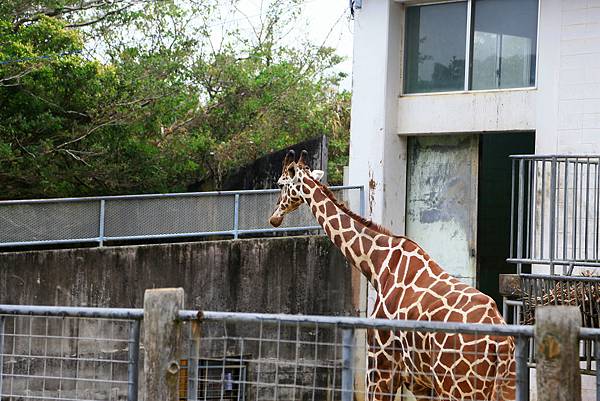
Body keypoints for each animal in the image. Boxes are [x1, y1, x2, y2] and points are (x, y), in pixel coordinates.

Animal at [268, 150, 516, 400]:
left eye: (280, 183)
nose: (274, 218)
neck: (377, 264)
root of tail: (502, 344)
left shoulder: (380, 368)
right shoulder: (419, 382)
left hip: (457, 388)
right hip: (504, 387)